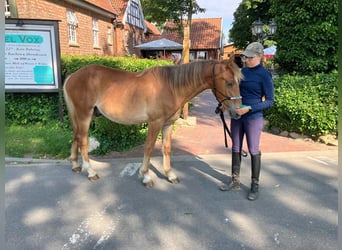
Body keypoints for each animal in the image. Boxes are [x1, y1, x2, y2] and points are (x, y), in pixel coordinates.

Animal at [63, 57, 240, 187]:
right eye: (229, 82)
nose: (238, 112)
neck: (171, 87)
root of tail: (72, 76)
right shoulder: (155, 123)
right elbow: (148, 147)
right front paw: (146, 176)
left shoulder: (168, 124)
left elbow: (166, 148)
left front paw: (170, 175)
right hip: (84, 115)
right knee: (83, 141)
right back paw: (90, 172)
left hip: (84, 115)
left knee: (75, 136)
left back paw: (75, 165)